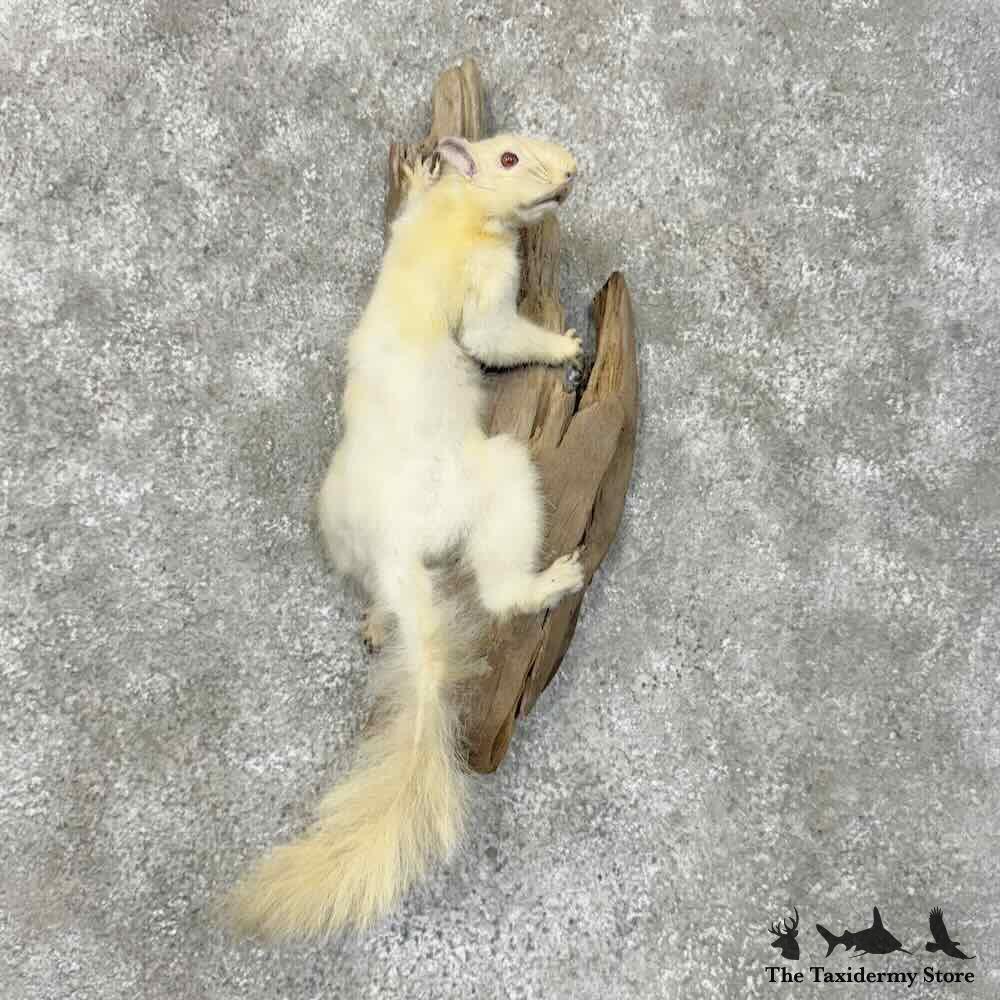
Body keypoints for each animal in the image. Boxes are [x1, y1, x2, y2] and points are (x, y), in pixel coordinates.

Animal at [227, 134, 584, 939]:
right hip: (500, 476)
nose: (573, 172)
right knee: (498, 590)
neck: (457, 212)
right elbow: (496, 338)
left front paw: (418, 170)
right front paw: (565, 342)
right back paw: (555, 580)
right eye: (510, 158)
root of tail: (395, 551)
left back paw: (374, 620)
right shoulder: (486, 284)